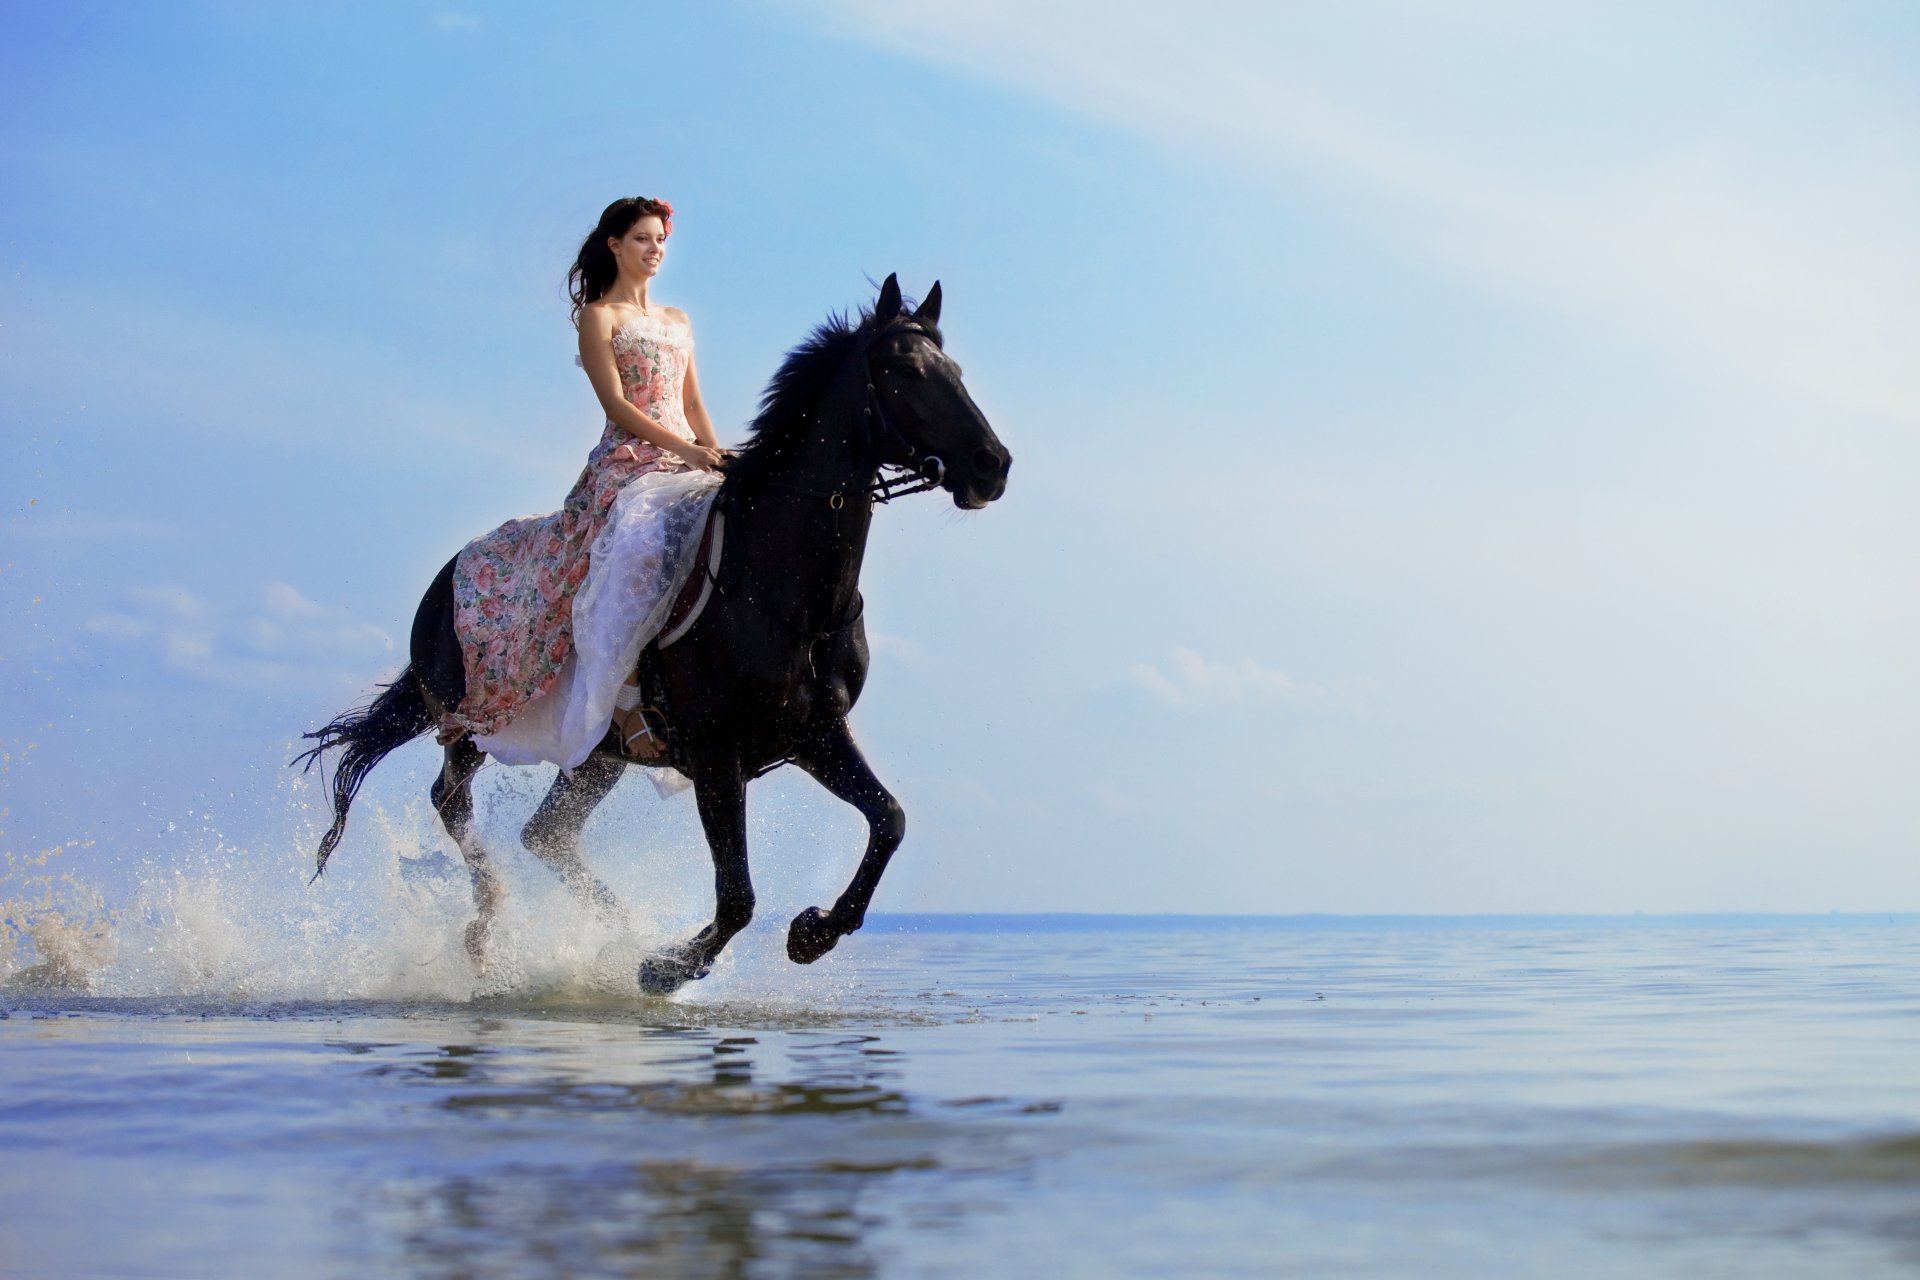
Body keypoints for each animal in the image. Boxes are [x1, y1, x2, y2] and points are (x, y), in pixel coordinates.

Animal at [294, 274, 1010, 994]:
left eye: (955, 370)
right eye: (904, 370)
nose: (992, 465)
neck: (781, 586)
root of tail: (445, 578)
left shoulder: (814, 734)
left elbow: (889, 819)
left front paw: (813, 933)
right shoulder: (718, 754)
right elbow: (737, 895)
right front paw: (667, 967)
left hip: (597, 754)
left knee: (544, 834)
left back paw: (615, 928)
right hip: (472, 722)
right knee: (451, 800)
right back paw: (491, 927)